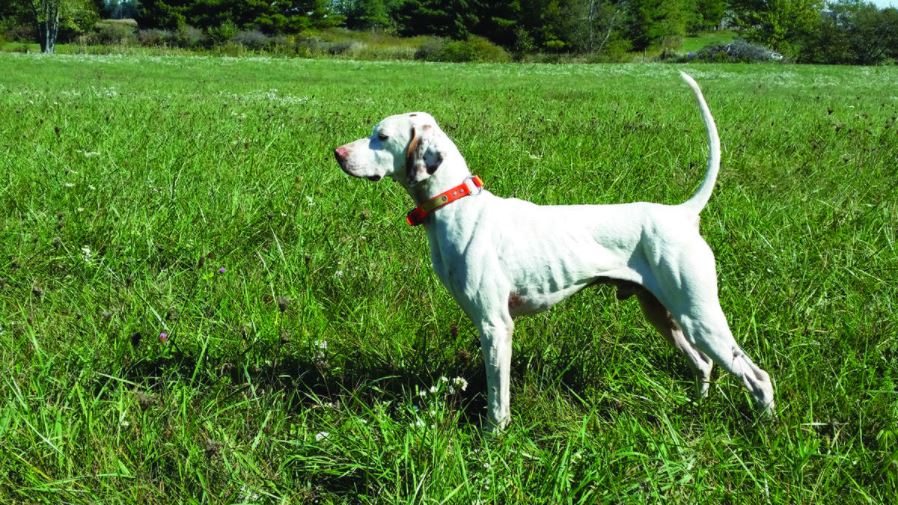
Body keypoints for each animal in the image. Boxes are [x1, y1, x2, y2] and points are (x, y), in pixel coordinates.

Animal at [334, 73, 768, 428]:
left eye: (381, 136)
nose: (337, 153)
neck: (457, 206)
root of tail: (682, 214)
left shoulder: (495, 326)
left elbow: (498, 399)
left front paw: (493, 438)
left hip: (701, 317)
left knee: (757, 377)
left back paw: (764, 427)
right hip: (665, 315)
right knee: (704, 364)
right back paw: (696, 408)